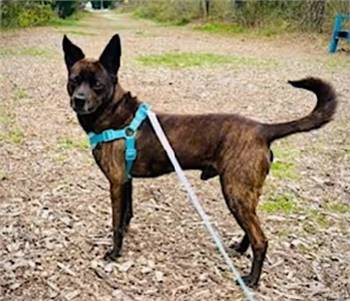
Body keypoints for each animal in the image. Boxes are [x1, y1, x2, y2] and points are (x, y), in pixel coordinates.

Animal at [62, 33, 336, 286]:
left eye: (97, 84)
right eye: (74, 81)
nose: (79, 100)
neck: (115, 113)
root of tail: (262, 129)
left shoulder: (117, 182)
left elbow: (116, 223)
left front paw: (115, 252)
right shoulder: (126, 180)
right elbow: (127, 214)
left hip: (235, 192)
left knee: (261, 239)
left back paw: (252, 279)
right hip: (246, 192)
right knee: (253, 227)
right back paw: (241, 248)